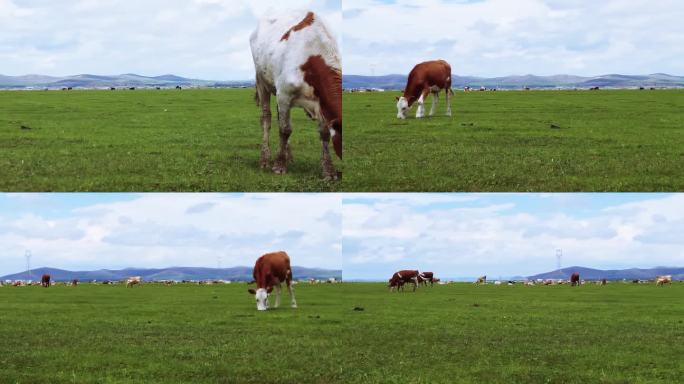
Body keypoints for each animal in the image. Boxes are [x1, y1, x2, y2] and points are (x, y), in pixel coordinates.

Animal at [248, 9, 342, 181]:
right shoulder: (284, 95)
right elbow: (285, 130)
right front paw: (279, 166)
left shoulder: (320, 102)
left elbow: (324, 134)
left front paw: (328, 170)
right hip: (262, 82)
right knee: (266, 118)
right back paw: (265, 159)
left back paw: (288, 156)